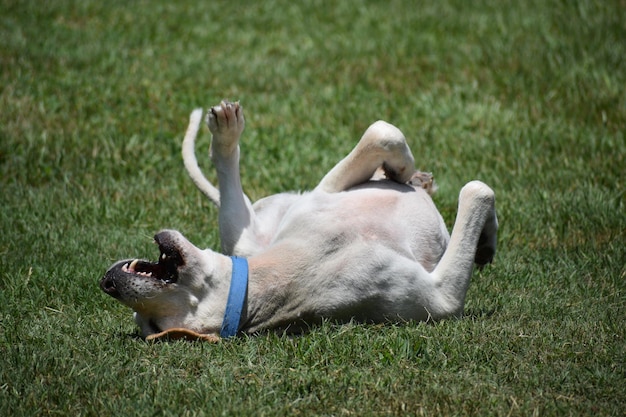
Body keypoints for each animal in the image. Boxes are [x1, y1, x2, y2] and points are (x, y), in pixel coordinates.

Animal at [98, 101, 498, 342]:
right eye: (153, 327)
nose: (108, 282)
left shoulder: (324, 193)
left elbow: (381, 133)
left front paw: (401, 172)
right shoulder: (437, 299)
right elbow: (477, 190)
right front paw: (484, 237)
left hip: (256, 229)